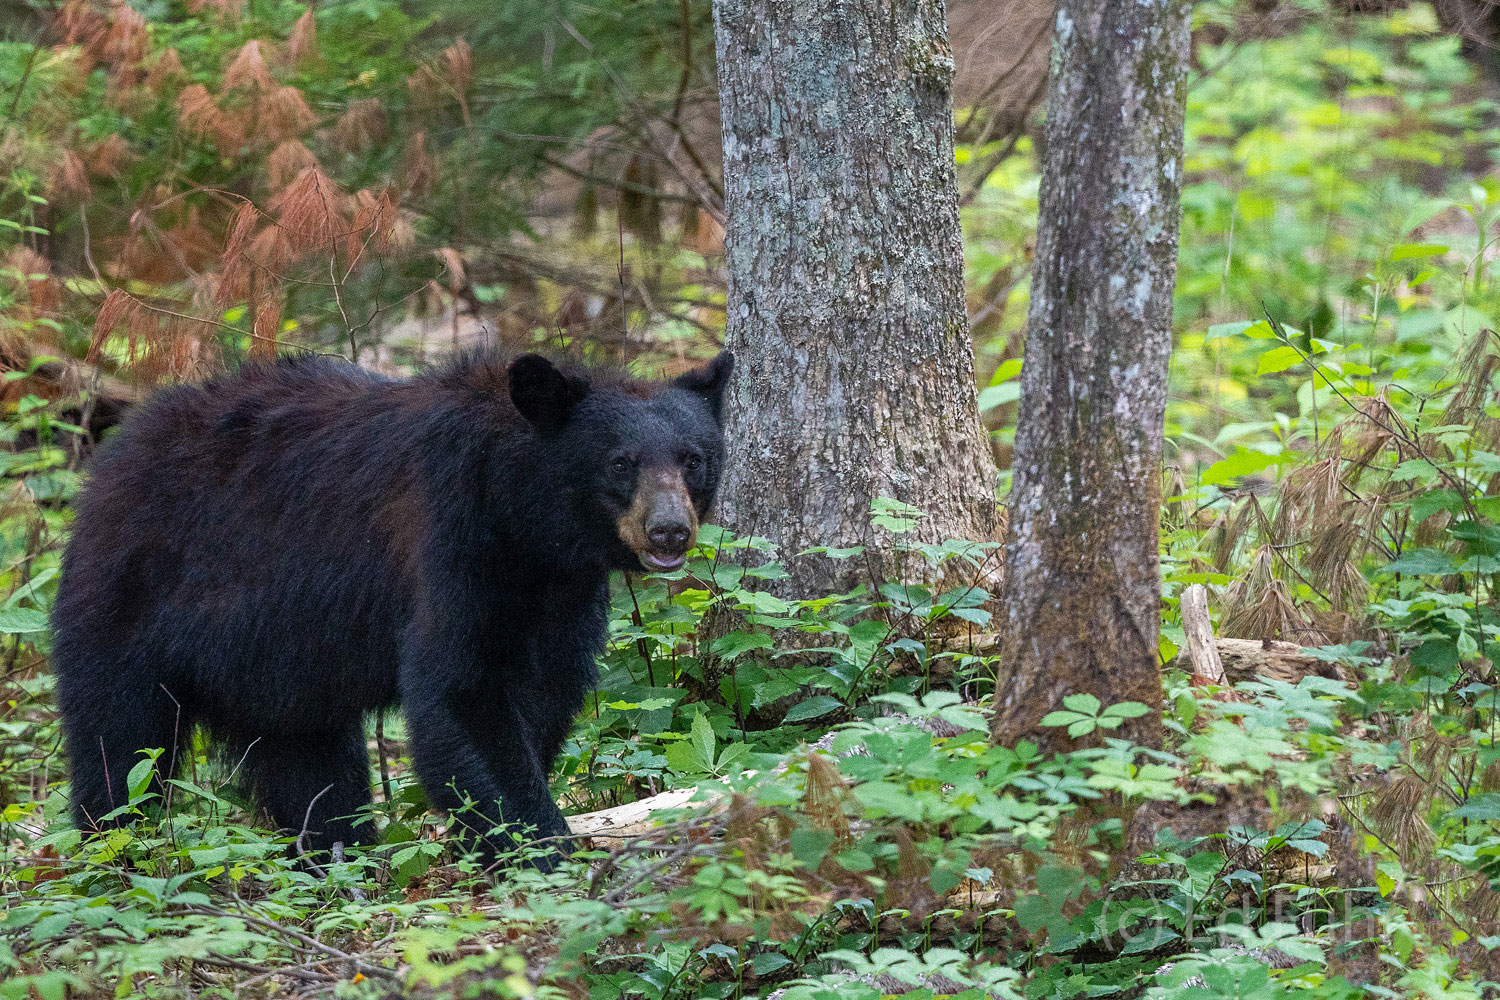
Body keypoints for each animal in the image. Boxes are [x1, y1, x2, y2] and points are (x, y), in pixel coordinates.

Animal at [46, 352, 726, 869]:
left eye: (693, 458)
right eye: (621, 462)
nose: (669, 530)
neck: (525, 519)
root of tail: (109, 460)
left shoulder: (558, 593)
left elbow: (546, 687)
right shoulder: (451, 540)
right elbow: (460, 692)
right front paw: (541, 846)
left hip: (278, 665)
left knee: (310, 760)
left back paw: (333, 855)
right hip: (128, 595)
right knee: (119, 741)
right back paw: (113, 848)